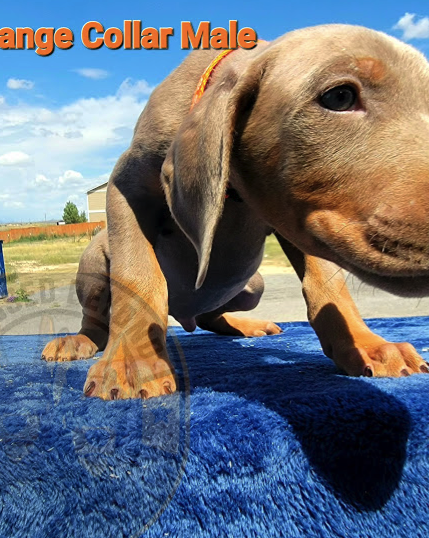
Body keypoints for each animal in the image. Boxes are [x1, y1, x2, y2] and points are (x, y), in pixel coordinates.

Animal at [41, 24, 428, 398]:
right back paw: (78, 341)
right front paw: (134, 362)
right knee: (97, 319)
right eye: (339, 97)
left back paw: (244, 325)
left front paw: (365, 346)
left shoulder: (303, 219)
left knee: (210, 316)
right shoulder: (125, 188)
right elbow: (137, 276)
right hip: (93, 263)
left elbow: (328, 285)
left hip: (253, 284)